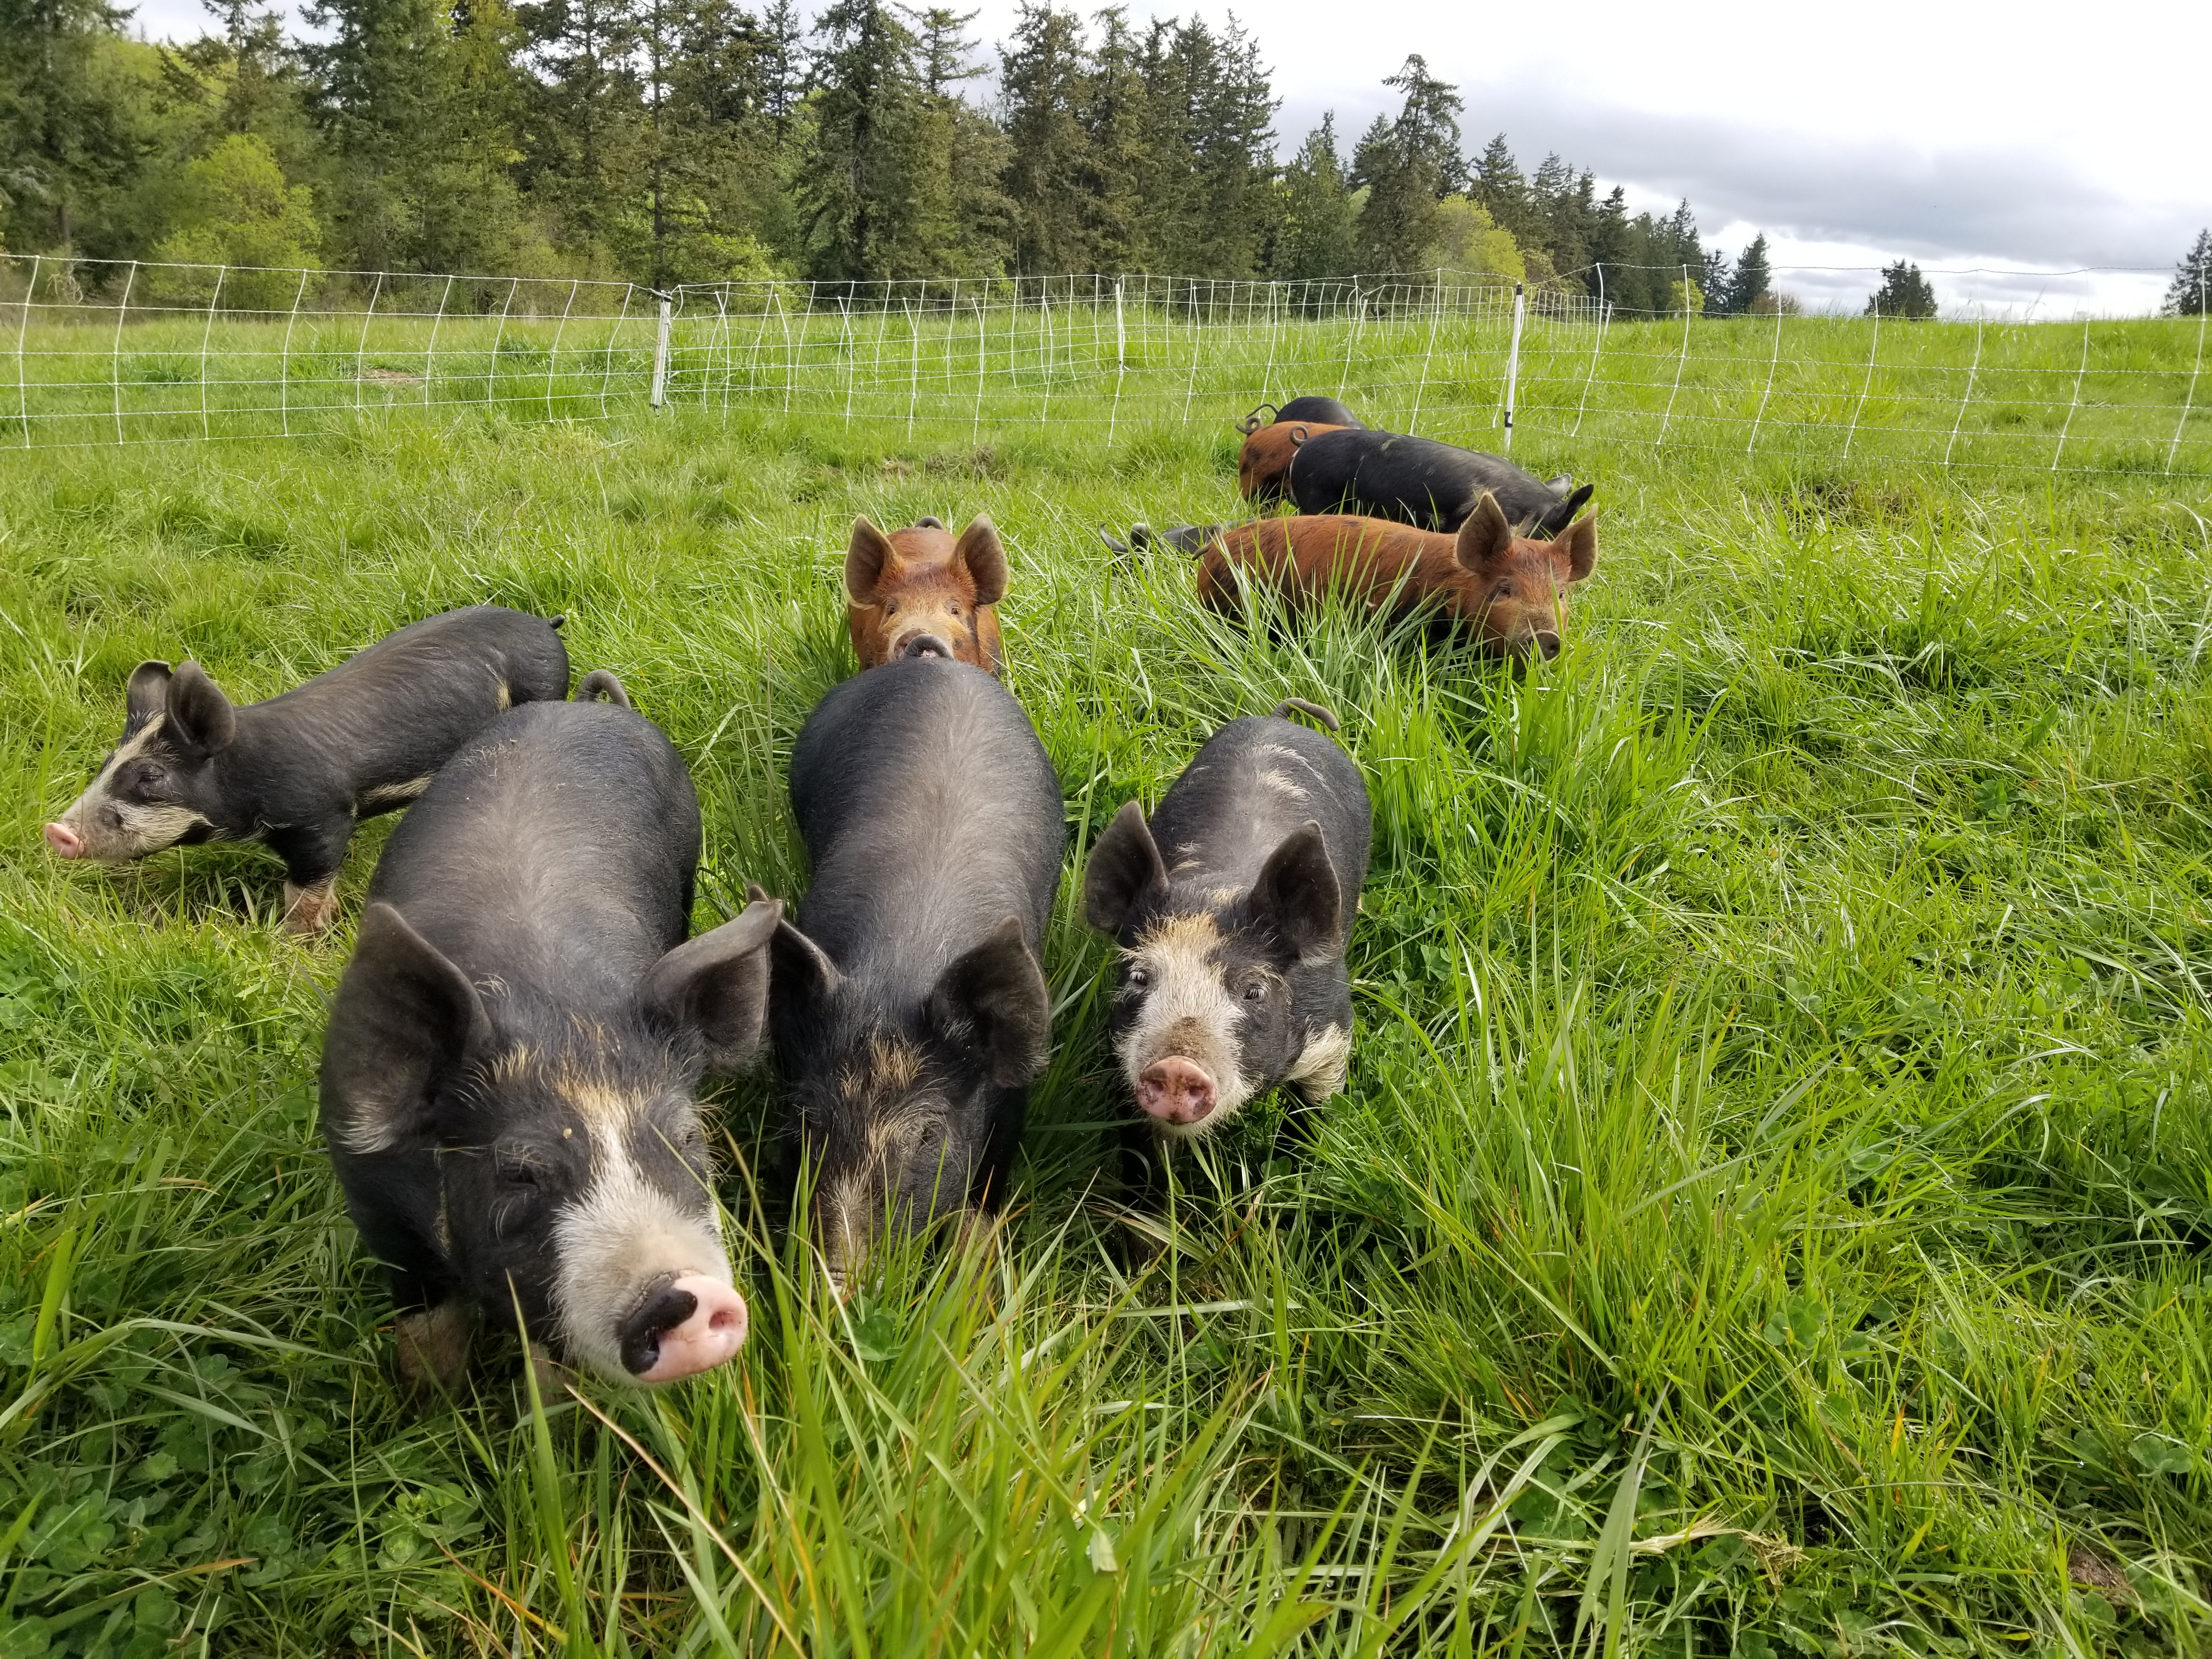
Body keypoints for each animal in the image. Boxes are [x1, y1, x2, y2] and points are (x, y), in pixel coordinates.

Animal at [43, 605, 569, 934]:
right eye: (107, 764)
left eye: (150, 776)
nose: (56, 831)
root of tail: (545, 625)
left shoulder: (325, 816)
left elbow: (304, 889)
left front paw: (293, 941)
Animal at [320, 697, 777, 1393]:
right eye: (518, 1171)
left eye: (689, 1137)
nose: (682, 1297)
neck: (554, 1010)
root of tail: (586, 705)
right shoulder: (370, 1194)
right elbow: (429, 1326)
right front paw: (431, 1403)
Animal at [1083, 699, 1371, 1177]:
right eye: (1140, 977)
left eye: (1253, 990)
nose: (1178, 1066)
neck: (1217, 891)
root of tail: (1279, 717)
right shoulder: (1121, 1061)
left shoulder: (1333, 1040)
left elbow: (1310, 1118)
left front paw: (1290, 1176)